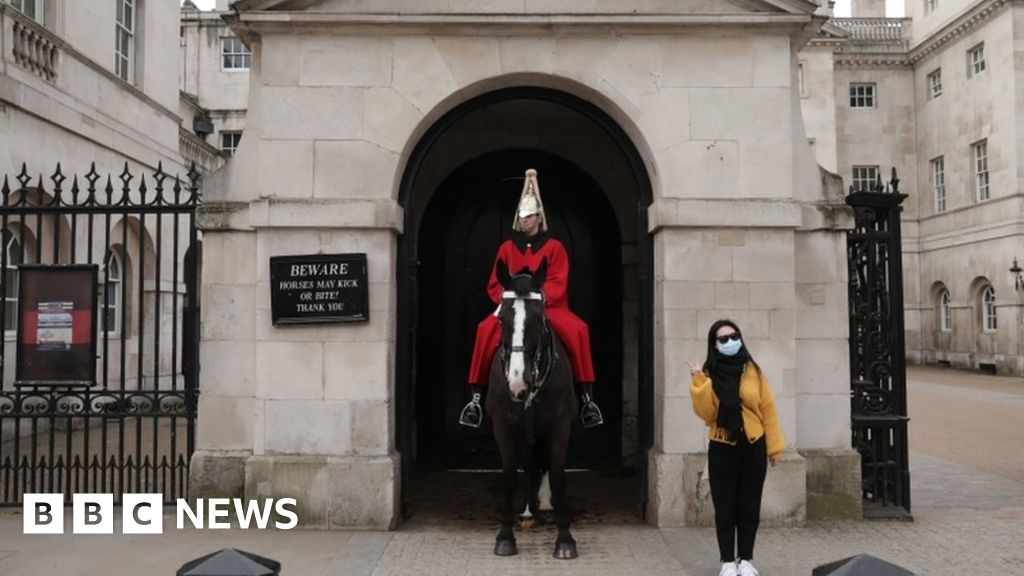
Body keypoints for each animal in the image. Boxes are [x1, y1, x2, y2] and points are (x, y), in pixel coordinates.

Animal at [485, 256, 577, 557]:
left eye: (538, 317)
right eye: (502, 317)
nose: (518, 383)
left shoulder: (560, 425)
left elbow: (558, 476)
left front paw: (565, 538)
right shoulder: (503, 426)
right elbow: (509, 477)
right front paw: (505, 536)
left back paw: (544, 505)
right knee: (528, 463)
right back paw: (527, 512)